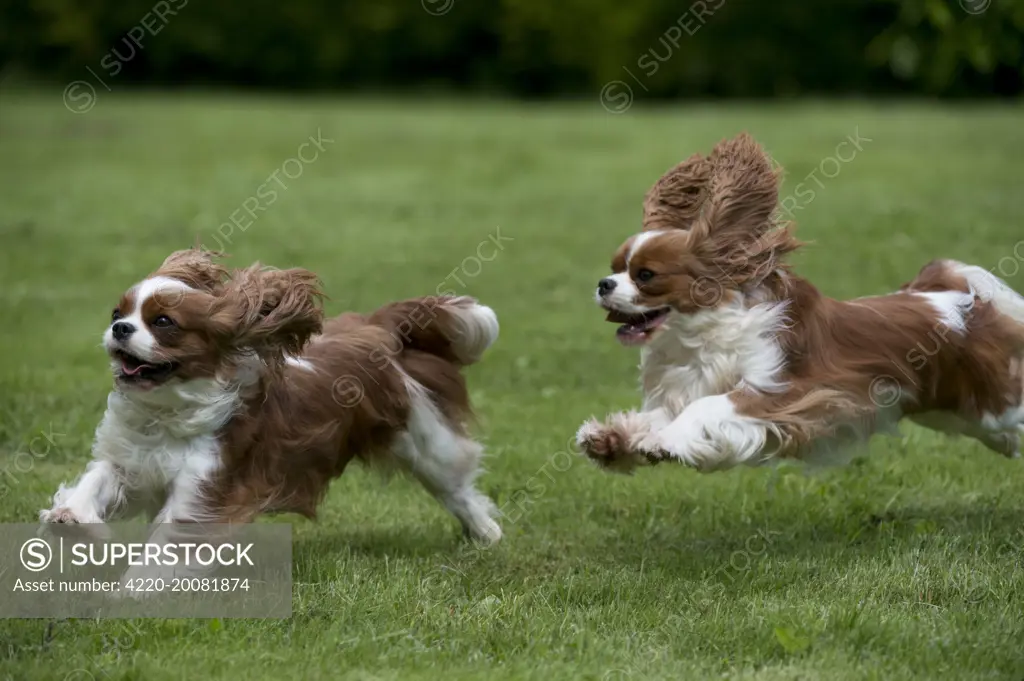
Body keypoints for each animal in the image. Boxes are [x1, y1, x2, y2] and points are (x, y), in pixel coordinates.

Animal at [40, 248, 503, 540]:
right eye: (117, 314)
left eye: (163, 322)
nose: (119, 329)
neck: (167, 412)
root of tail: (377, 328)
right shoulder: (131, 459)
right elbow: (98, 478)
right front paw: (69, 514)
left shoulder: (205, 486)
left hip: (426, 440)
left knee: (455, 487)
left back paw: (486, 533)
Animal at [577, 133, 1024, 473]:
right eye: (615, 268)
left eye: (645, 275)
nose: (603, 283)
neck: (700, 338)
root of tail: (958, 297)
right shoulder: (689, 385)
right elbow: (661, 414)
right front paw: (611, 438)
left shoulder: (786, 390)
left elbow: (707, 407)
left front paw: (663, 441)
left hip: (997, 404)